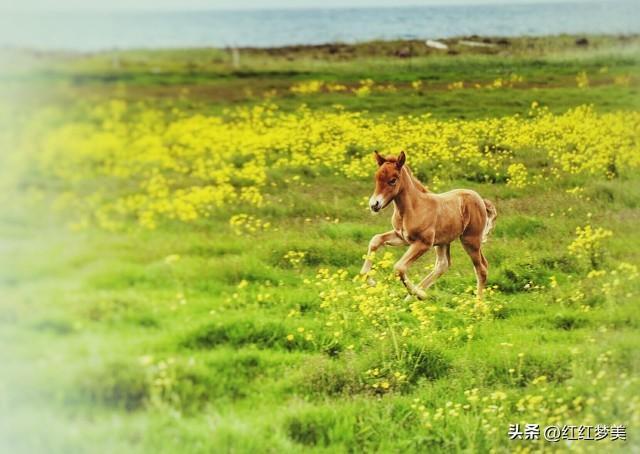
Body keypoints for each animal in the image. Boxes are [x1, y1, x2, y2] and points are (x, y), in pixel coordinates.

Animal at [358, 153, 498, 300]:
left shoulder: (424, 243)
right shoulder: (402, 237)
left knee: (481, 268)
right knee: (443, 265)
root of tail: (481, 200)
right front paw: (370, 280)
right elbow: (376, 240)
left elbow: (399, 267)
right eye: (377, 177)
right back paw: (410, 298)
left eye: (393, 180)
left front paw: (421, 294)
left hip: (471, 240)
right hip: (443, 241)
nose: (374, 205)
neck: (414, 208)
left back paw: (478, 304)